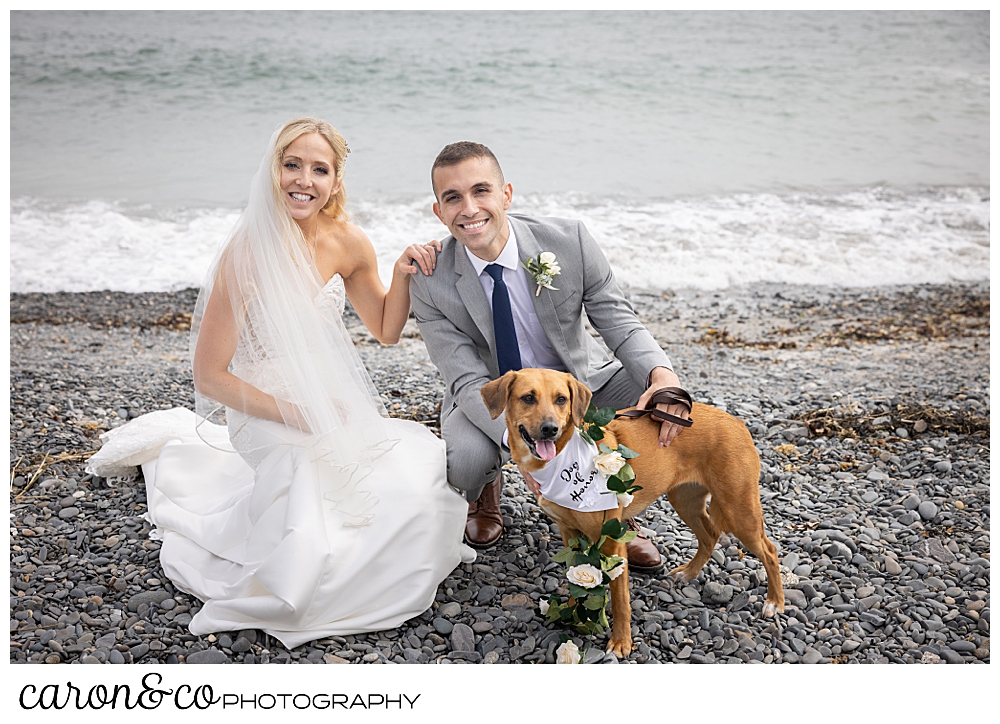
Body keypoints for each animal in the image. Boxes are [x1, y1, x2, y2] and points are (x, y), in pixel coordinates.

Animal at [480, 368, 784, 656]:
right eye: (528, 398)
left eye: (561, 399)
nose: (550, 429)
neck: (561, 460)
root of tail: (736, 421)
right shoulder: (570, 535)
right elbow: (574, 576)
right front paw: (572, 613)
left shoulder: (613, 543)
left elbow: (620, 601)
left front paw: (621, 642)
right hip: (685, 500)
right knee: (709, 535)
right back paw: (689, 573)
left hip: (738, 510)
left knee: (769, 550)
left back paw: (775, 602)